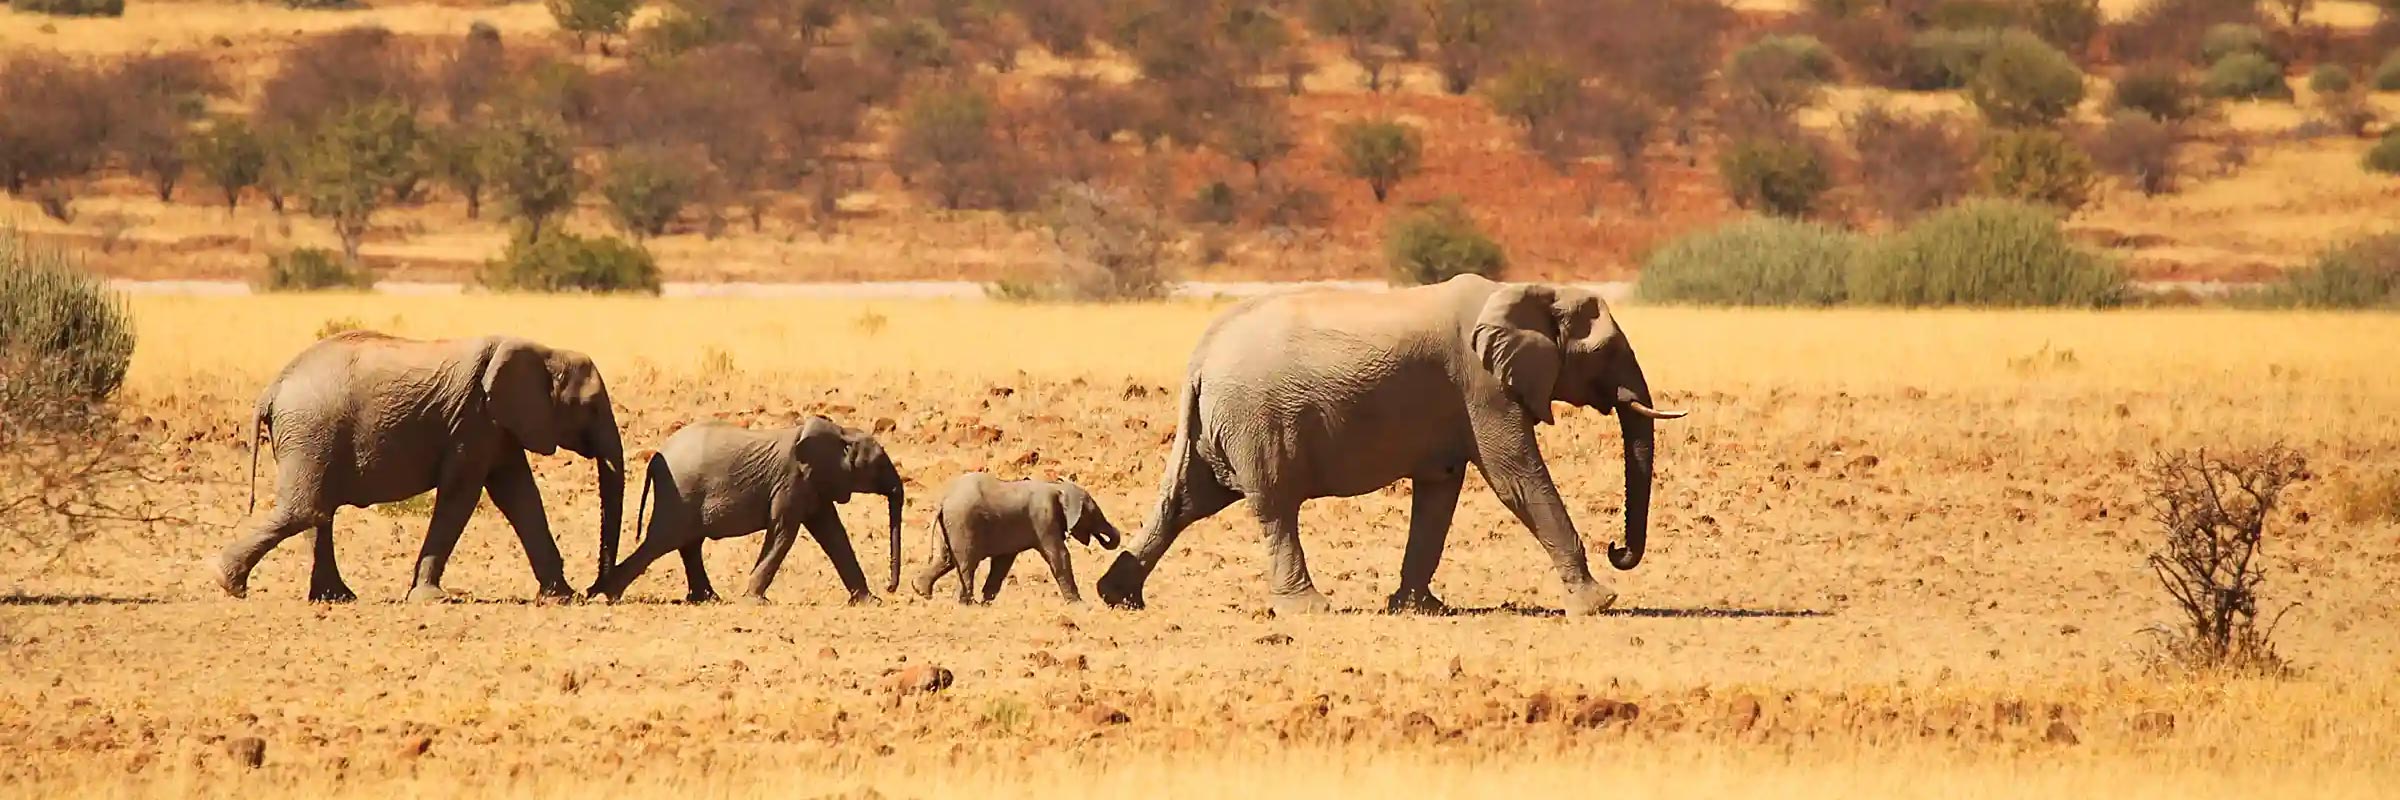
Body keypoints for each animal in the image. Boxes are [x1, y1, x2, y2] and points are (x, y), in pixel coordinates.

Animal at [218, 331, 625, 603]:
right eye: (590, 408)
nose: (597, 591)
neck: (544, 352)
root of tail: (272, 389)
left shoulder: (498, 427)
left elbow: (519, 497)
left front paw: (563, 597)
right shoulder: (473, 420)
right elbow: (462, 496)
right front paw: (433, 600)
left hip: (308, 436)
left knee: (317, 513)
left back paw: (337, 598)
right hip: (310, 430)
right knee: (307, 510)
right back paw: (228, 582)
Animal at [585, 416, 904, 605]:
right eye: (879, 465)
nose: (891, 588)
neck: (841, 433)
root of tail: (656, 457)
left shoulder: (815, 483)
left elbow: (833, 534)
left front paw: (869, 602)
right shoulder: (791, 481)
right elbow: (784, 532)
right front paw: (756, 601)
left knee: (687, 544)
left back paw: (708, 599)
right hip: (680, 492)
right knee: (662, 541)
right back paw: (608, 595)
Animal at [911, 473, 1122, 605]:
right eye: (1092, 512)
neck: (1057, 487)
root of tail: (944, 501)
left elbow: (1002, 563)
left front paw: (987, 602)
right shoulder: (1044, 519)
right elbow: (1059, 556)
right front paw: (1079, 605)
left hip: (951, 525)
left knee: (946, 558)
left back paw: (921, 591)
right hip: (963, 523)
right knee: (966, 563)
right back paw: (965, 603)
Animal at [1094, 274, 1687, 617]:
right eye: (1607, 351)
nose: (1617, 549)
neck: (1529, 290)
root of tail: (1199, 358)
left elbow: (1440, 492)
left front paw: (1419, 608)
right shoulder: (1483, 388)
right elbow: (1516, 477)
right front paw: (1599, 603)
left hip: (1220, 425)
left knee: (1186, 502)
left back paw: (1117, 598)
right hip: (1256, 422)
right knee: (1275, 506)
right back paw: (1309, 609)